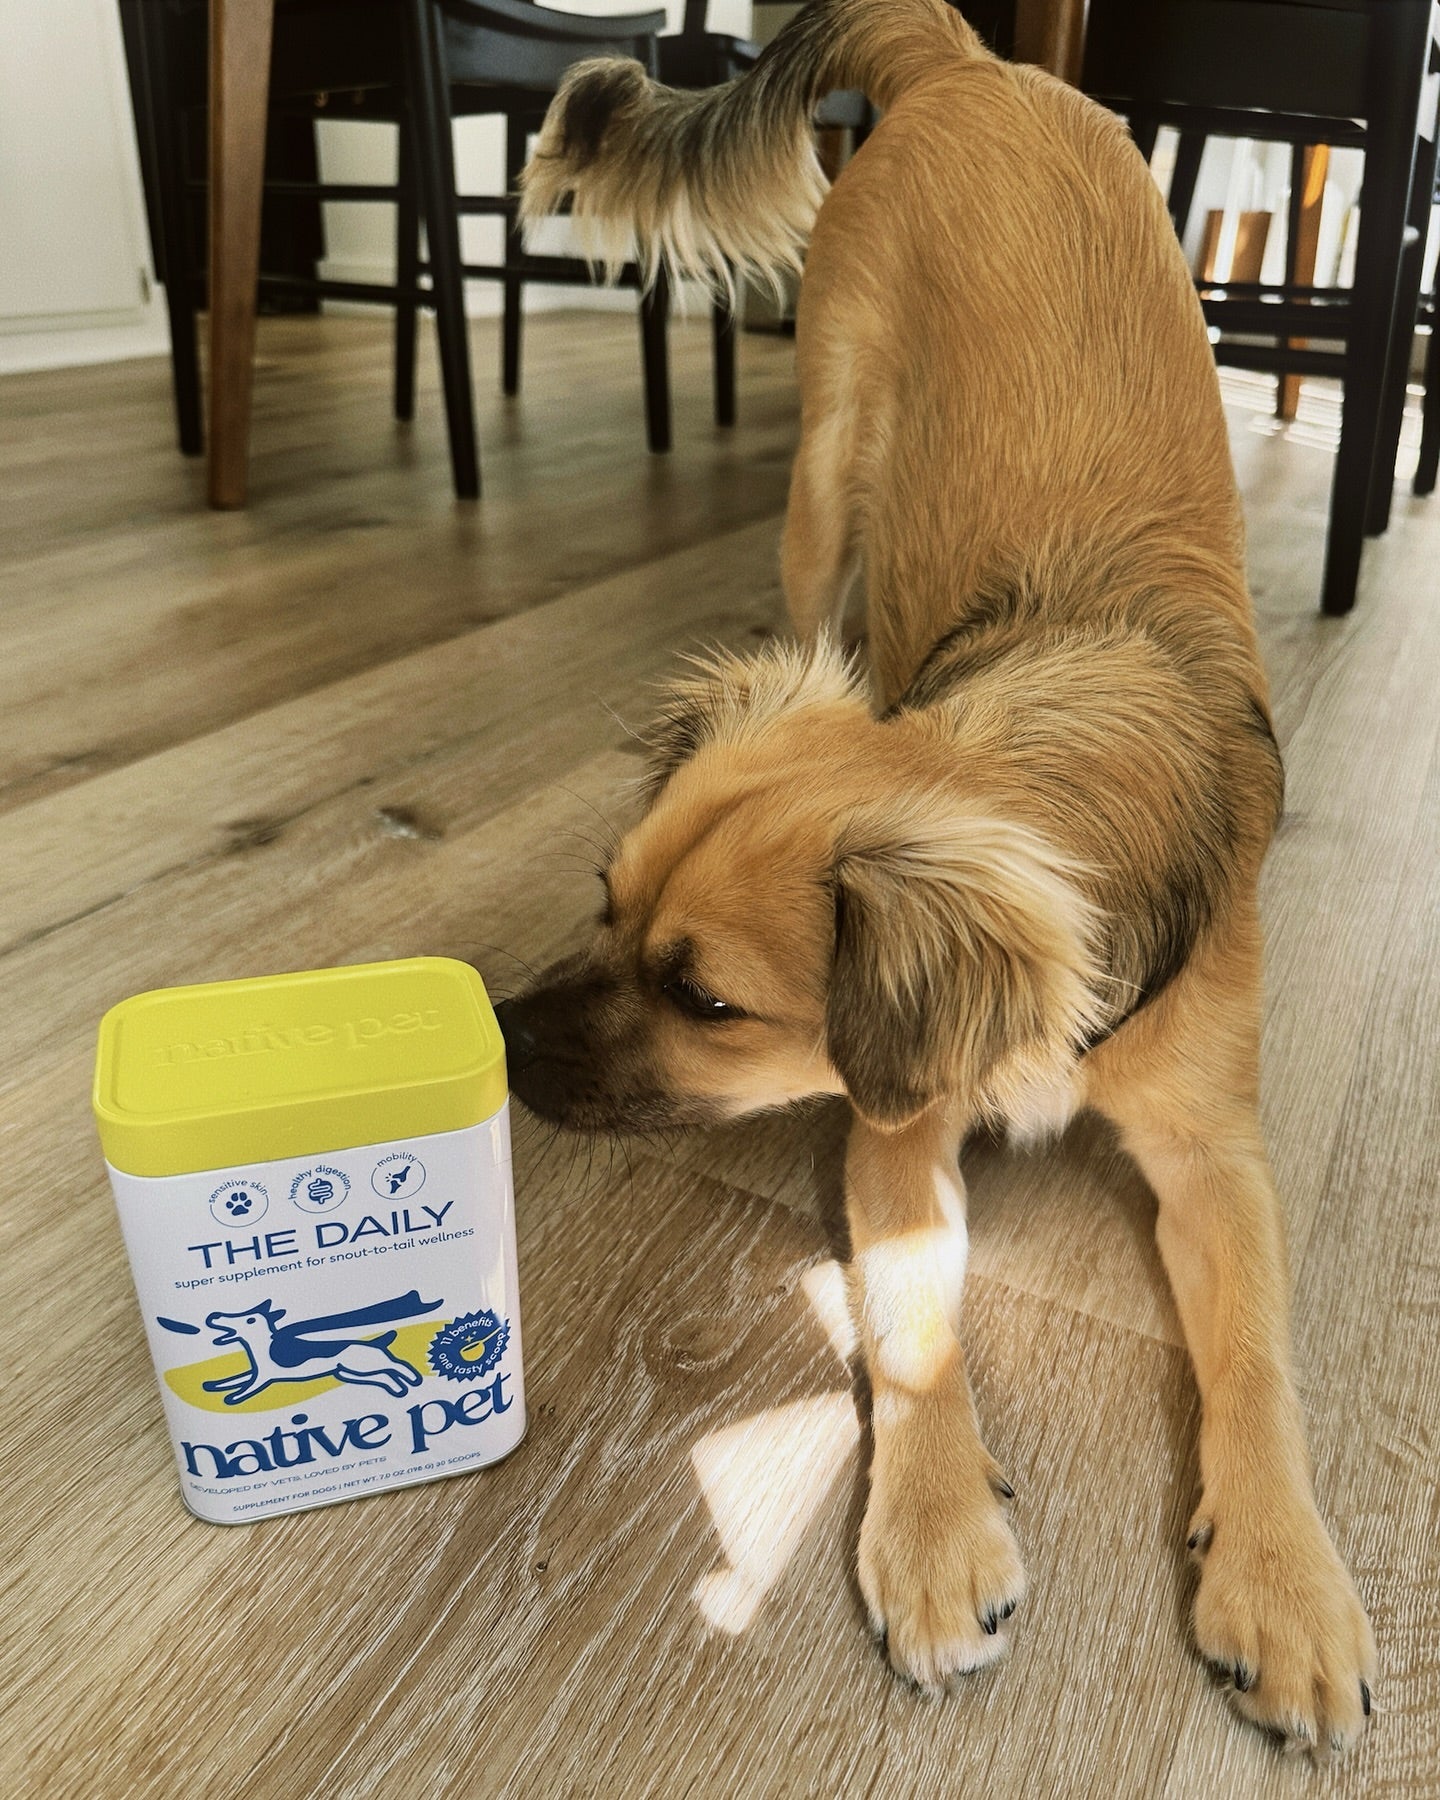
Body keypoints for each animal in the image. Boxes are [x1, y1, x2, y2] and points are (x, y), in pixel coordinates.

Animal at [504, 0, 1375, 1749]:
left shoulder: (1217, 1150)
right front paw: (929, 1534)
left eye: (707, 1000)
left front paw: (1287, 1580)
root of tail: (970, 58)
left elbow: (1257, 1357)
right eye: (601, 903)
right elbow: (913, 1328)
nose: (496, 1036)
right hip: (827, 463)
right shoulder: (897, 1124)